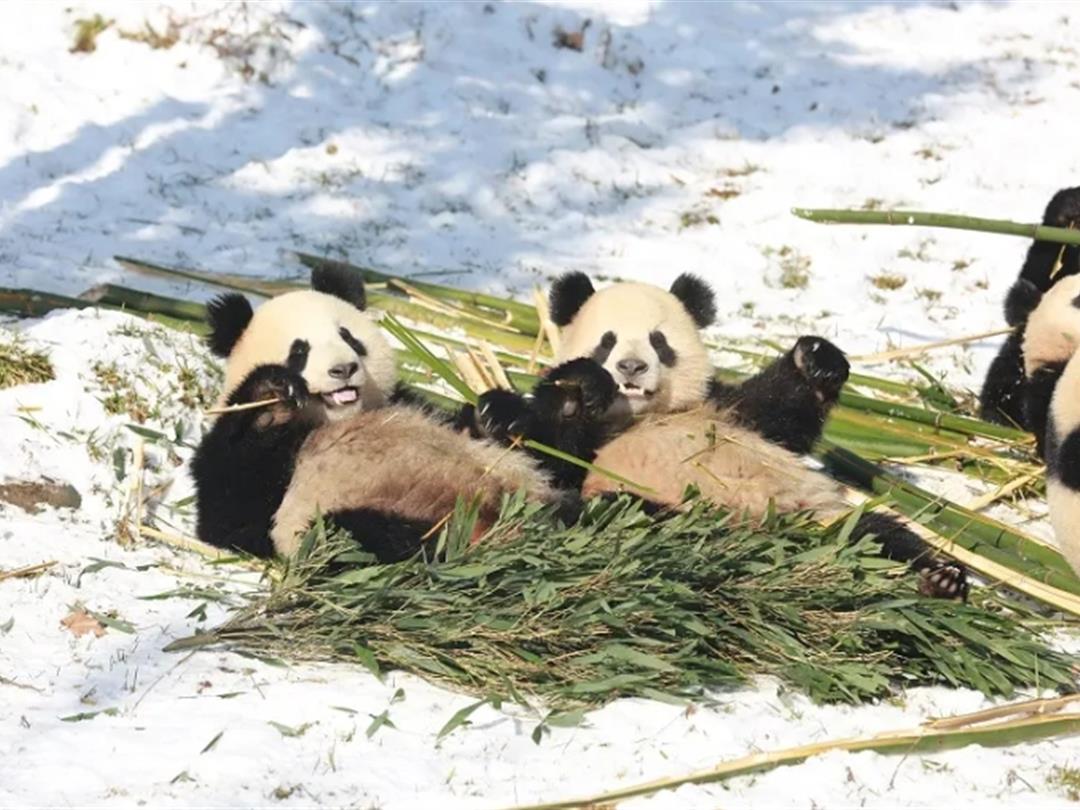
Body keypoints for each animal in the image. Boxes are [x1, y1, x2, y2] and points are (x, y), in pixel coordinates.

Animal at [191, 266, 578, 563]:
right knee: (358, 535)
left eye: (348, 337)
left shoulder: (408, 403)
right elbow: (230, 514)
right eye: (299, 352)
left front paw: (497, 414)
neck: (337, 419)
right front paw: (270, 399)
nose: (343, 369)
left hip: (521, 485)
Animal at [472, 272, 968, 599]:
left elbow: (781, 414)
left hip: (821, 518)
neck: (638, 417)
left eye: (658, 342)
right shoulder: (587, 451)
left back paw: (941, 579)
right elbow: (551, 457)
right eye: (607, 341)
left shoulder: (725, 410)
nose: (631, 368)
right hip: (658, 513)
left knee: (881, 535)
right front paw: (578, 387)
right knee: (627, 512)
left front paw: (816, 358)